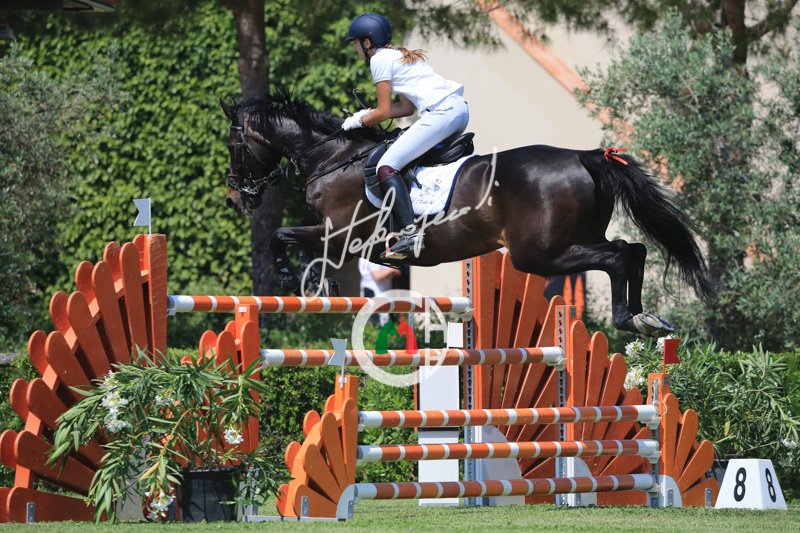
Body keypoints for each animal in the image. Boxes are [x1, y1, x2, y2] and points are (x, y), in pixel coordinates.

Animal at [220, 93, 713, 337]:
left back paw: (629, 319)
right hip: (574, 238)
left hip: (538, 254)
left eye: (232, 145)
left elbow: (281, 234)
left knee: (618, 256)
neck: (333, 158)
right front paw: (312, 283)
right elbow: (300, 245)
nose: (235, 199)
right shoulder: (335, 238)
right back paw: (646, 318)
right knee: (633, 249)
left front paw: (291, 277)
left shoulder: (342, 235)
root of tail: (583, 156)